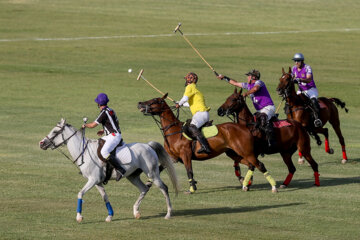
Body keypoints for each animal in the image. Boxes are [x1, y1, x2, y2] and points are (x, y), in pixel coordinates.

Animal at [39, 119, 180, 222]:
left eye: (55, 132)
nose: (41, 143)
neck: (83, 152)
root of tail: (148, 146)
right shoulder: (98, 182)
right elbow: (105, 197)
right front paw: (110, 216)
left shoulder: (93, 180)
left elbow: (80, 193)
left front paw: (79, 217)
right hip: (133, 176)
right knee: (144, 189)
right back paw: (136, 212)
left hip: (152, 173)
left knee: (164, 188)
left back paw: (168, 214)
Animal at [138, 94, 278, 193]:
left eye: (154, 100)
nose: (139, 103)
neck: (173, 131)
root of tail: (245, 127)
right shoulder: (173, 158)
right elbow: (158, 169)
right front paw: (148, 184)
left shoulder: (185, 155)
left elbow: (189, 171)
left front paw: (192, 189)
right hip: (233, 153)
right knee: (250, 165)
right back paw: (245, 183)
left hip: (246, 151)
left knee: (259, 164)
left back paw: (273, 187)